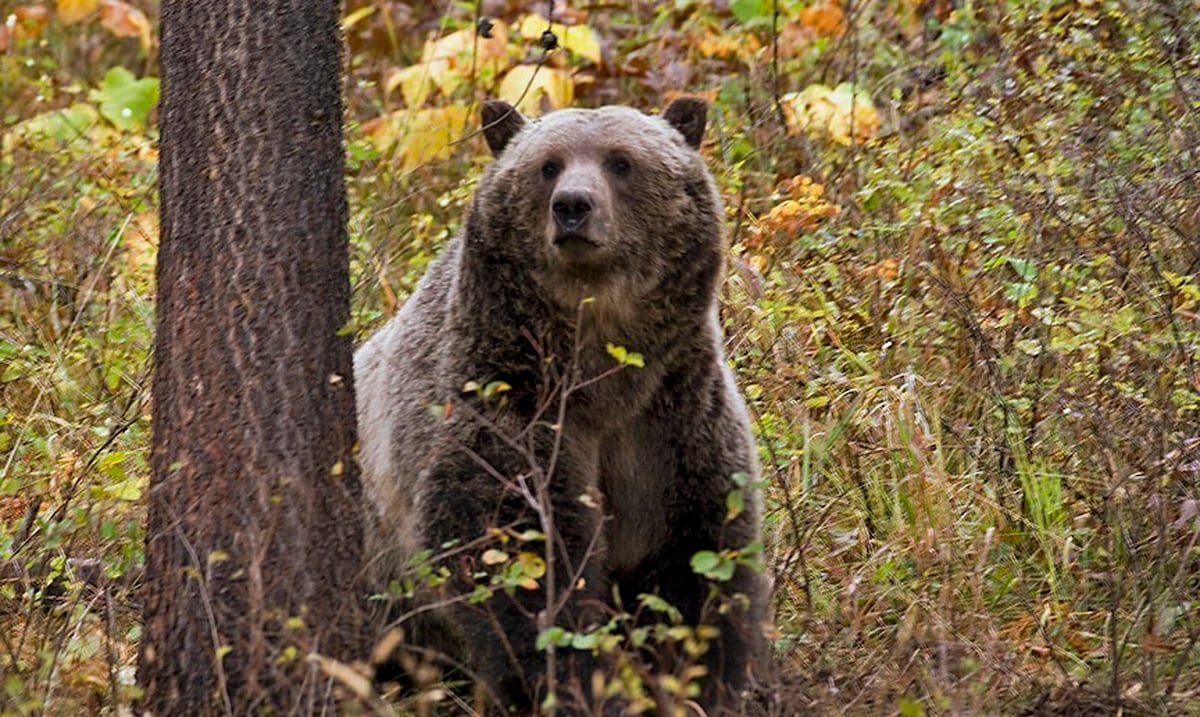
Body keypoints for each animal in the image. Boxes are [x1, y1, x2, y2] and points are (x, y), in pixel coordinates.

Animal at [354, 98, 767, 715]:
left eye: (621, 161)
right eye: (547, 165)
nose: (573, 206)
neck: (599, 368)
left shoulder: (671, 417)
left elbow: (701, 554)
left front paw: (703, 679)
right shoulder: (506, 403)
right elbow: (521, 559)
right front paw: (577, 681)